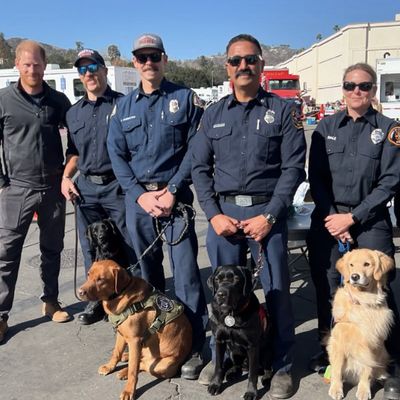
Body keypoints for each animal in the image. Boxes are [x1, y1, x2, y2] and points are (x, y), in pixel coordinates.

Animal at [79, 260, 193, 400]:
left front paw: (129, 391)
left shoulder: (134, 340)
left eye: (101, 279)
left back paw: (125, 371)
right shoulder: (121, 334)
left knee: (143, 364)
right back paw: (125, 358)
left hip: (164, 365)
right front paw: (110, 366)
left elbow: (133, 369)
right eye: (88, 274)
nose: (80, 292)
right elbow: (116, 353)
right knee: (140, 359)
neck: (121, 293)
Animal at [328, 248, 394, 398]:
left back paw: (382, 375)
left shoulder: (373, 344)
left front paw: (364, 390)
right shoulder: (339, 342)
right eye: (351, 265)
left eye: (367, 264)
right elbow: (337, 369)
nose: (354, 277)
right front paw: (336, 389)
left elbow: (368, 370)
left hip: (383, 351)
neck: (363, 301)